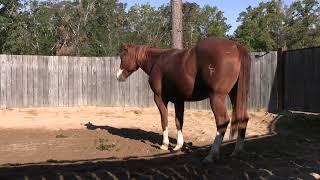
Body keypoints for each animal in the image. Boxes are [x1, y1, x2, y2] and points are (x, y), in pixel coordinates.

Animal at [116, 37, 251, 162]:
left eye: (123, 56)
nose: (118, 76)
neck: (157, 61)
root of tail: (237, 47)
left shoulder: (159, 98)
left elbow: (164, 120)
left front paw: (164, 145)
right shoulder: (179, 100)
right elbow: (179, 122)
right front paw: (178, 146)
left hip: (216, 97)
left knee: (222, 121)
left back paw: (211, 155)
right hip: (235, 96)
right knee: (243, 118)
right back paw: (237, 152)